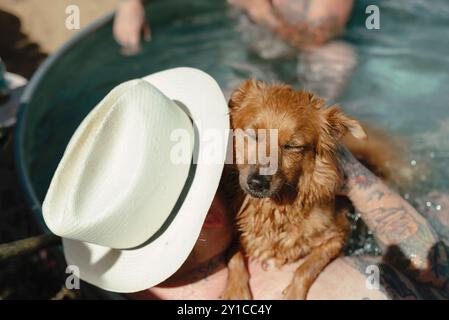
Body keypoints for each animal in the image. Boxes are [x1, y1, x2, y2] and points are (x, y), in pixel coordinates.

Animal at [220, 80, 368, 300]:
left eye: (292, 146)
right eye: (252, 135)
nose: (257, 183)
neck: (274, 209)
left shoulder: (338, 236)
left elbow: (307, 267)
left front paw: (293, 293)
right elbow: (234, 255)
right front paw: (235, 291)